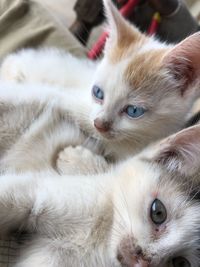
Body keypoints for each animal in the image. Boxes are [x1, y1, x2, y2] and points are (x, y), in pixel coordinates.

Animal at [0, 123, 200, 267]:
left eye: (181, 263)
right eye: (158, 212)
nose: (142, 260)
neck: (102, 242)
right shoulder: (39, 193)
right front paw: (76, 158)